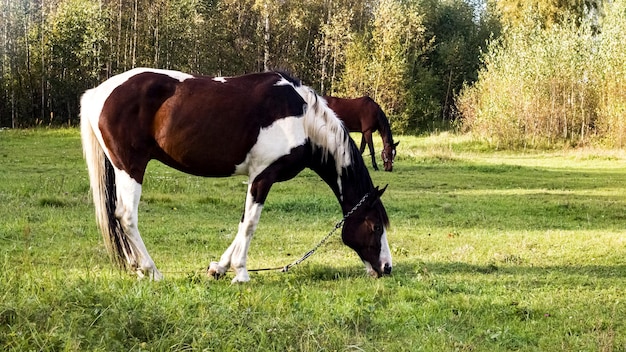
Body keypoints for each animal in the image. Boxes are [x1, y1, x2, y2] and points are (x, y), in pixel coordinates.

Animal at [79, 68, 390, 284]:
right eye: (376, 226)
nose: (387, 268)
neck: (303, 119)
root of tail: (98, 92)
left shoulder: (255, 179)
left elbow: (242, 223)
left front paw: (219, 268)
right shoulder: (263, 177)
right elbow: (250, 224)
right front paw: (241, 273)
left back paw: (138, 269)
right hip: (131, 168)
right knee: (126, 216)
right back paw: (151, 270)